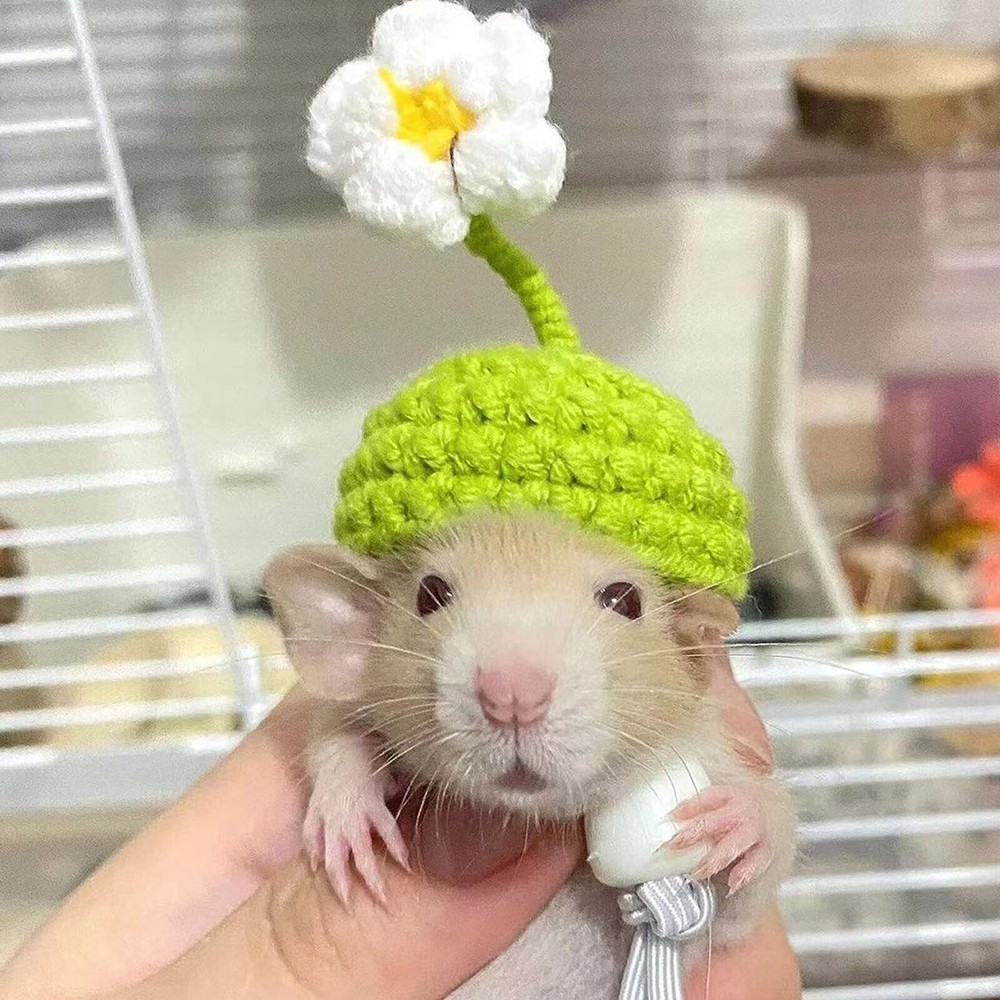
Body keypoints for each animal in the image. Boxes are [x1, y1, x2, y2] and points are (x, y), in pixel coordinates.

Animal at [264, 510, 796, 997]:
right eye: (430, 594)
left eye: (625, 600)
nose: (513, 695)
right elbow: (334, 726)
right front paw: (346, 804)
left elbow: (736, 912)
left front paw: (746, 819)